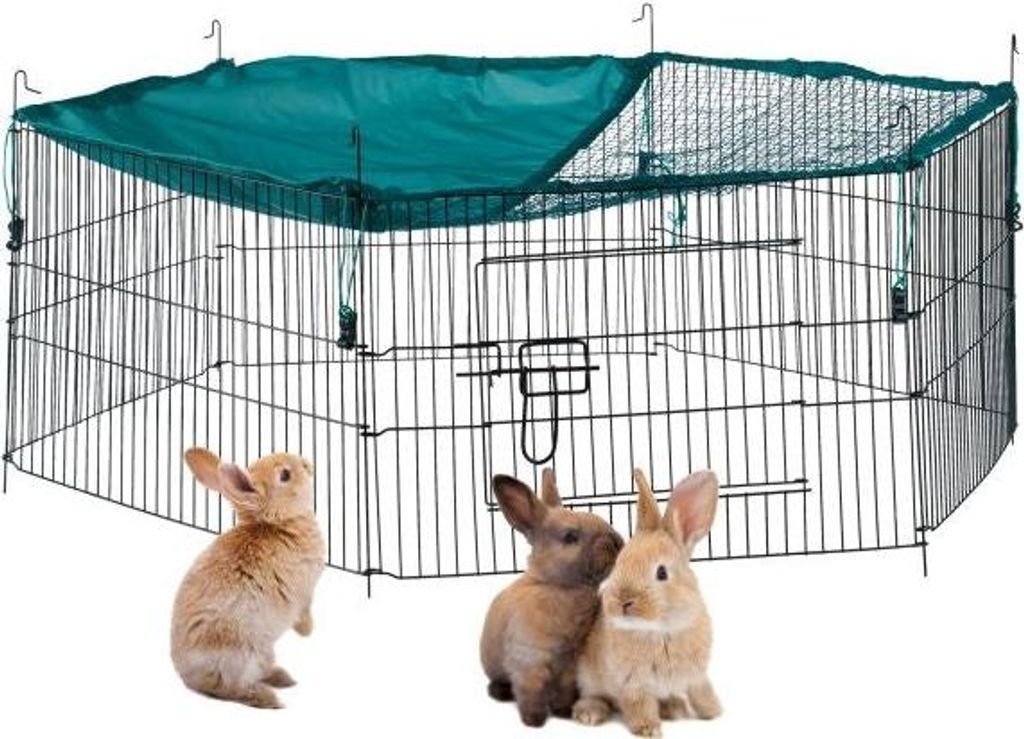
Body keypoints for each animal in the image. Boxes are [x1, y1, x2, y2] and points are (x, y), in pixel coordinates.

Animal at [171, 447, 325, 709]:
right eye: (284, 475)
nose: (307, 464)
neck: (278, 524)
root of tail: (189, 676)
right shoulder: (305, 591)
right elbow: (304, 613)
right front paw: (308, 631)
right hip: (238, 656)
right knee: (230, 690)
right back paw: (270, 699)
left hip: (262, 653)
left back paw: (282, 678)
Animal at [480, 468, 624, 727]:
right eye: (570, 537)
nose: (617, 542)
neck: (559, 587)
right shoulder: (529, 663)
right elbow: (530, 693)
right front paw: (534, 720)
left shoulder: (569, 666)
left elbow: (564, 691)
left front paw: (564, 712)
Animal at [572, 468, 722, 737]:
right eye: (619, 563)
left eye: (661, 573)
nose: (622, 601)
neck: (661, 631)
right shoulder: (633, 684)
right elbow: (638, 704)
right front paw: (648, 729)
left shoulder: (696, 675)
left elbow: (701, 690)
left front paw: (714, 711)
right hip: (588, 677)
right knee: (596, 696)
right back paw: (590, 713)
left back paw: (675, 708)